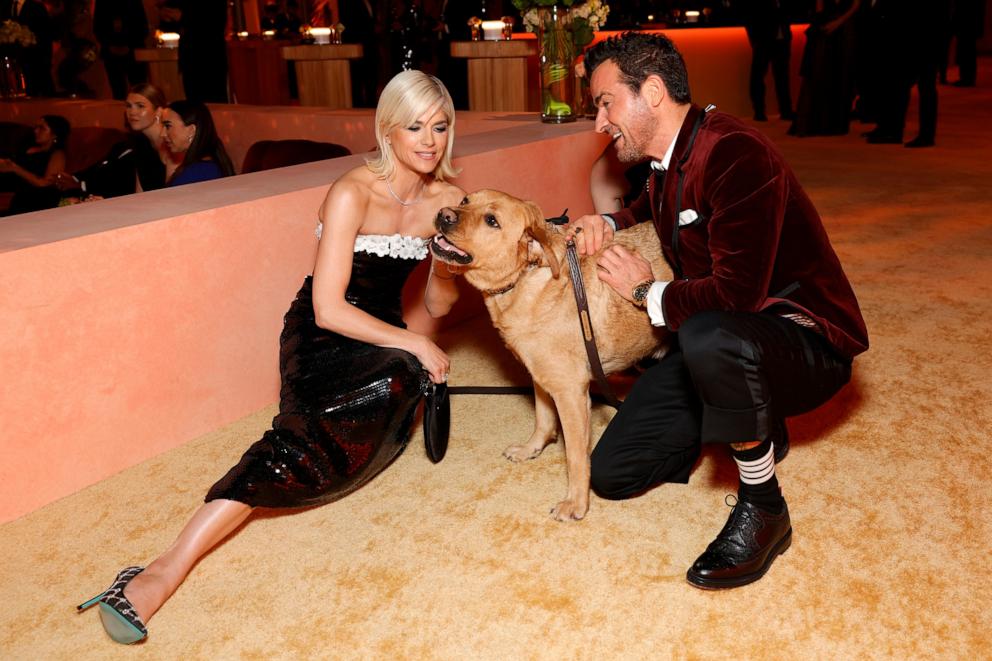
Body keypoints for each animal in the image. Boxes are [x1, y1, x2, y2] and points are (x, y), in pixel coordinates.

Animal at [428, 189, 672, 520]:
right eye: (466, 200)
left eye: (492, 221)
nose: (444, 214)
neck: (531, 280)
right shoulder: (542, 377)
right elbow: (543, 420)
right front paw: (532, 448)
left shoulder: (571, 394)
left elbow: (576, 457)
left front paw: (577, 502)